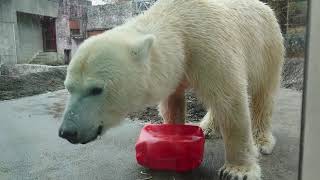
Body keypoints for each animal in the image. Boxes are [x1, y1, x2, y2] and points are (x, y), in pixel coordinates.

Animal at [58, 0, 284, 179]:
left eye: (96, 89)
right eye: (68, 88)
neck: (179, 24)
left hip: (267, 46)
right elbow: (172, 102)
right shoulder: (176, 66)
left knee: (264, 92)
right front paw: (171, 138)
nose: (67, 131)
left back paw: (262, 139)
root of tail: (266, 7)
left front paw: (238, 170)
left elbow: (230, 99)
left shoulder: (210, 48)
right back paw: (208, 127)